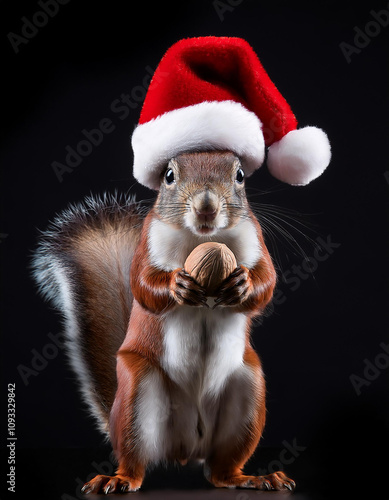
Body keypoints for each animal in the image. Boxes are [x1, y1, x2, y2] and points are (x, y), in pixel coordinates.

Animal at [33, 148, 296, 492]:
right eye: (169, 176)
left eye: (239, 176)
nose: (206, 207)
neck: (201, 238)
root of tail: (187, 448)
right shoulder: (149, 240)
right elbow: (143, 284)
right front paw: (176, 285)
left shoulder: (254, 237)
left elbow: (267, 280)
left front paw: (244, 285)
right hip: (136, 391)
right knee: (135, 461)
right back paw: (118, 479)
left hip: (248, 394)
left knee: (221, 472)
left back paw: (255, 478)